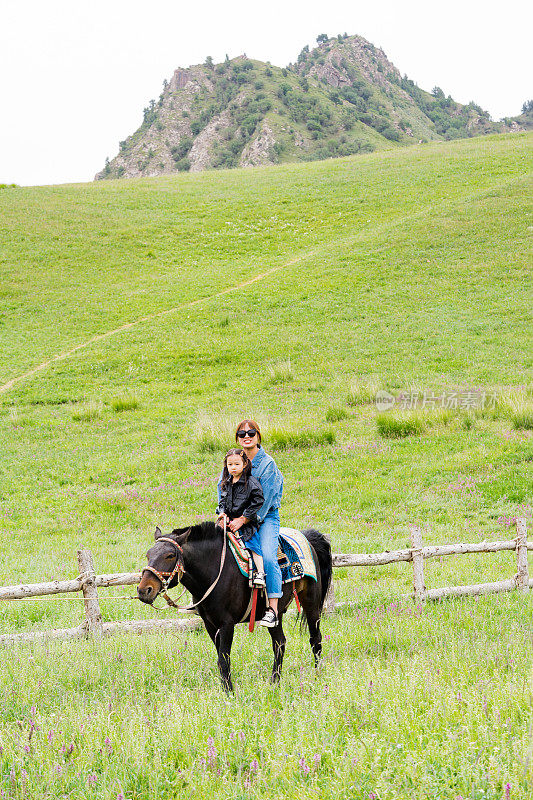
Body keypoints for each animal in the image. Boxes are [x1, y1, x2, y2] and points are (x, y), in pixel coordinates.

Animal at [135, 520, 330, 692]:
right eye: (148, 555)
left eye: (170, 555)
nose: (144, 590)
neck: (215, 570)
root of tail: (306, 537)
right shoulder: (209, 624)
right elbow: (221, 658)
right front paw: (226, 688)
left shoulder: (227, 624)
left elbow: (223, 659)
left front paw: (229, 692)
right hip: (275, 614)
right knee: (279, 643)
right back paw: (275, 681)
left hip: (312, 604)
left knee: (315, 639)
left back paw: (317, 675)